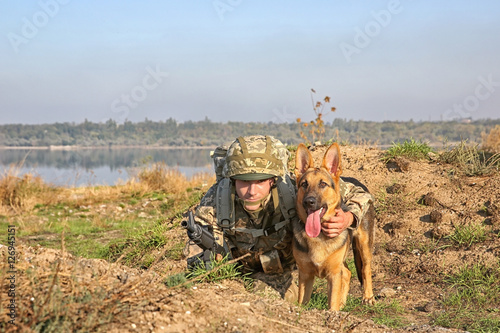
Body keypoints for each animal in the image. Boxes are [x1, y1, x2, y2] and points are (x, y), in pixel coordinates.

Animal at [292, 143, 376, 312]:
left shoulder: (333, 275)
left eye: (323, 184)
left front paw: (333, 314)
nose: (309, 202)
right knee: (348, 272)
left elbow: (332, 304)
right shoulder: (305, 275)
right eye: (304, 184)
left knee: (366, 268)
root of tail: (355, 180)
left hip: (363, 245)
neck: (318, 235)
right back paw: (343, 303)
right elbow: (302, 302)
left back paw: (368, 297)